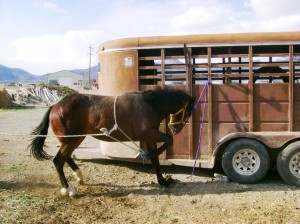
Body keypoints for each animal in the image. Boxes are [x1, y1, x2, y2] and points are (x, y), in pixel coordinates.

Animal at [28, 86, 195, 196]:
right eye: (188, 111)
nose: (175, 129)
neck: (148, 105)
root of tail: (55, 106)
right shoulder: (149, 134)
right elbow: (168, 141)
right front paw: (148, 157)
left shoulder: (149, 137)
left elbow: (156, 160)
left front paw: (163, 181)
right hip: (70, 140)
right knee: (58, 161)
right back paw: (68, 190)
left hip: (76, 139)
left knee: (66, 157)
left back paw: (79, 176)